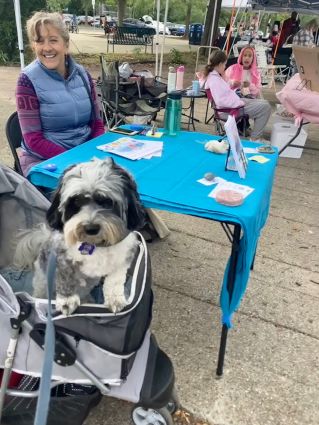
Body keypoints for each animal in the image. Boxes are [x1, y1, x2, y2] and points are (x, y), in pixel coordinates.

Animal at [14, 157, 145, 314]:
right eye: (76, 201)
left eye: (107, 202)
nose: (91, 228)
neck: (94, 244)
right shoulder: (60, 257)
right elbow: (65, 278)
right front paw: (67, 300)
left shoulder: (122, 258)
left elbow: (115, 280)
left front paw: (115, 299)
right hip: (42, 279)